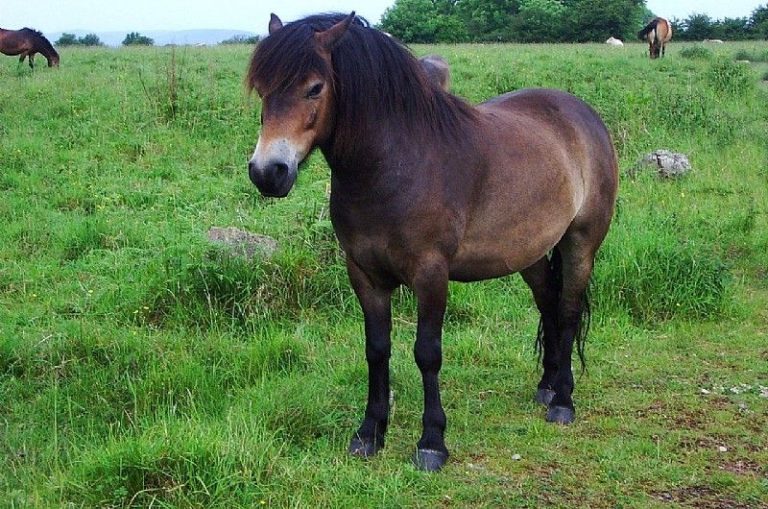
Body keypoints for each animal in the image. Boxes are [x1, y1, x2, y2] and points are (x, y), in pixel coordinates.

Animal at [246, 12, 618, 471]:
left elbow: (427, 353)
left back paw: (563, 401)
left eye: (314, 87)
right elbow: (376, 349)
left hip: (580, 243)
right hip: (528, 253)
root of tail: (582, 114)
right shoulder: (364, 274)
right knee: (548, 304)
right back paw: (546, 386)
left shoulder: (430, 274)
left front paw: (431, 443)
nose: (268, 172)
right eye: (263, 89)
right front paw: (369, 433)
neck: (395, 165)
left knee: (567, 313)